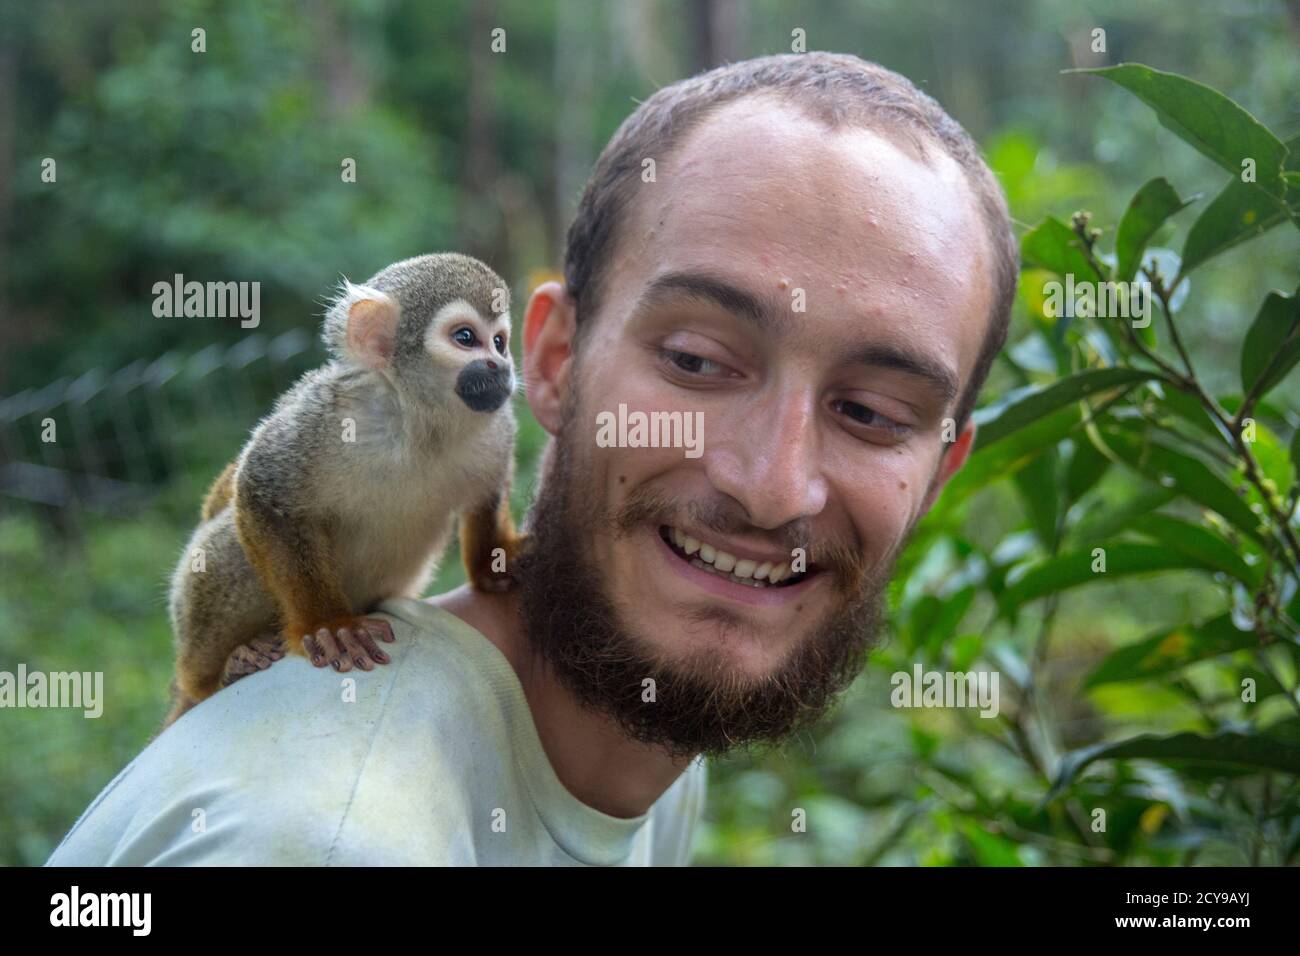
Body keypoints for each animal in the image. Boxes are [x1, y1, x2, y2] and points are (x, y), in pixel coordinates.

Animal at [163, 253, 524, 728]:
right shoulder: (331, 418)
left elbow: (488, 492)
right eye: (466, 338)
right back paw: (214, 673)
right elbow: (263, 490)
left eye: (500, 342)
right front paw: (328, 625)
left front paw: (495, 564)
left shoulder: (496, 429)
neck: (419, 423)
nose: (503, 367)